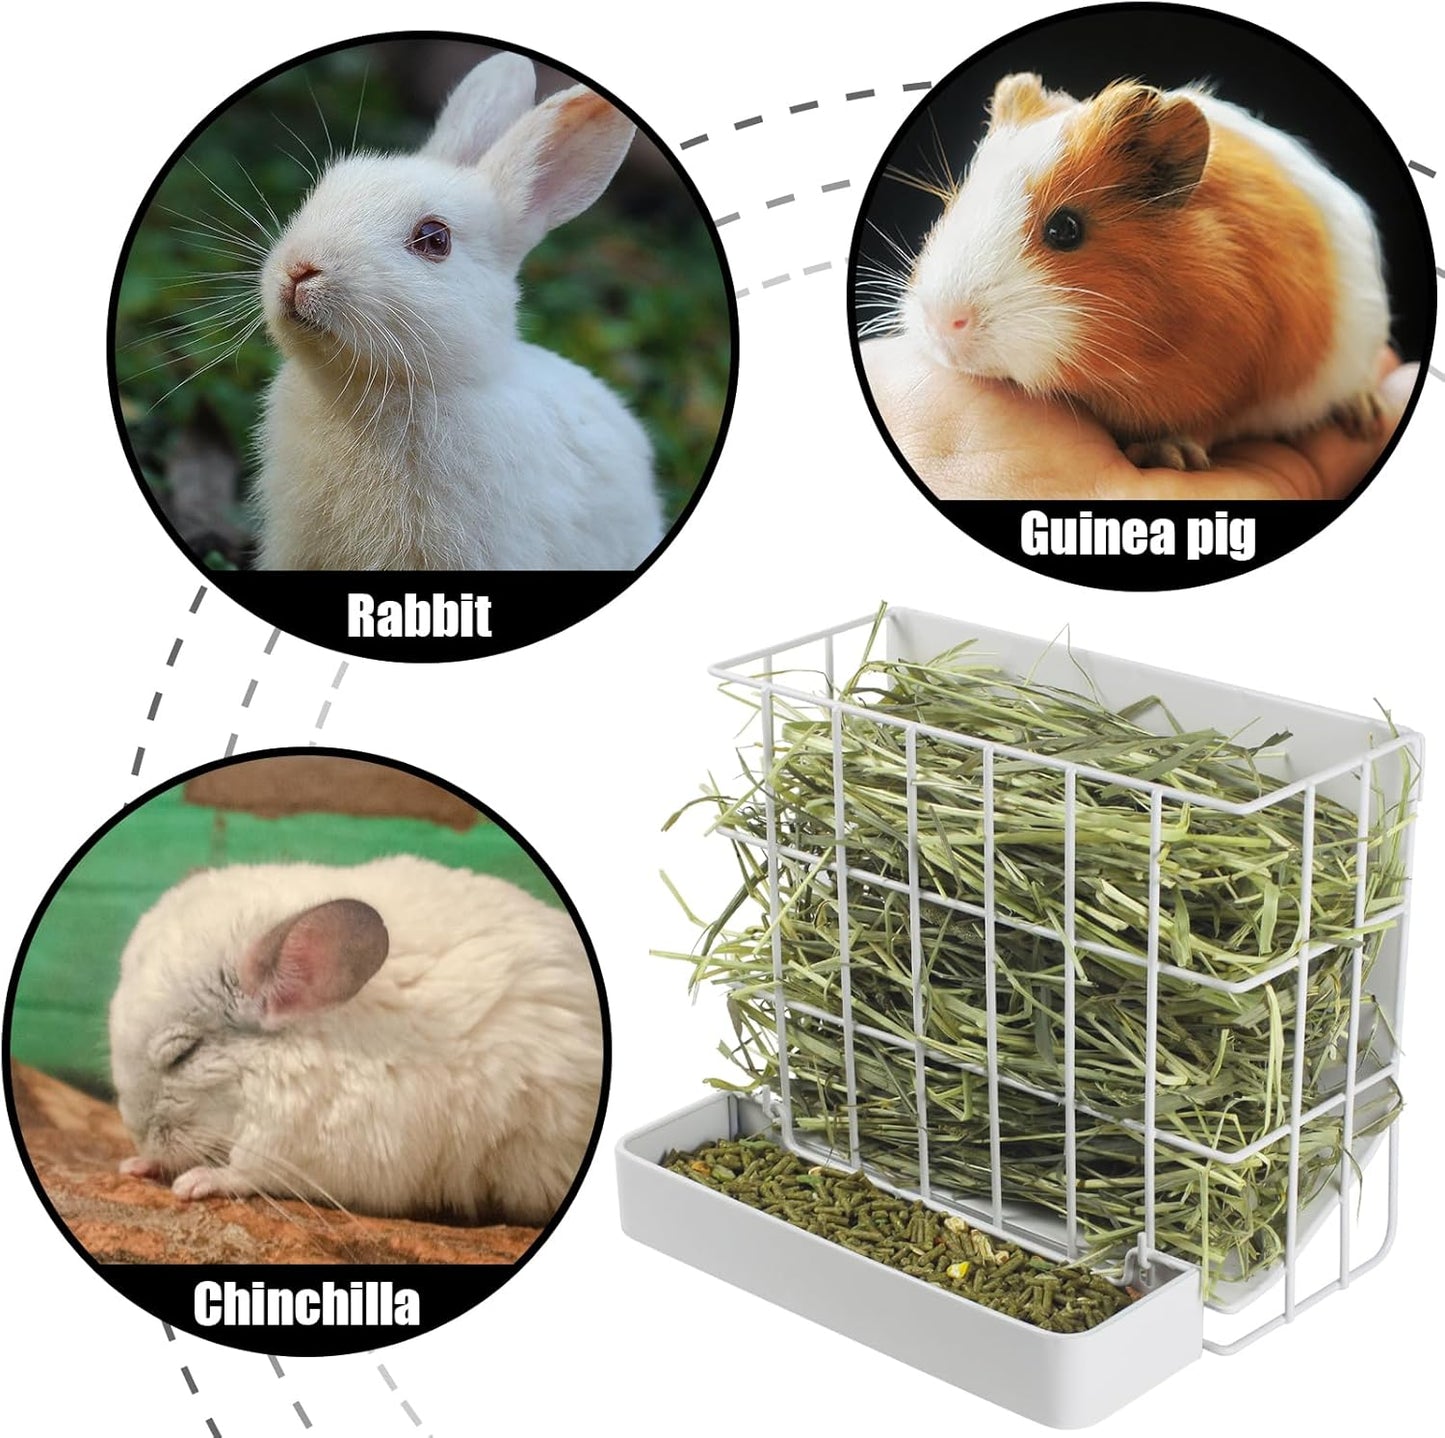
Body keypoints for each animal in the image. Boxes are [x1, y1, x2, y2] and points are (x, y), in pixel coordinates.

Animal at [107, 856, 606, 1226]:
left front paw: (195, 1182)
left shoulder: (319, 1149)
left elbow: (247, 1172)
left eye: (183, 1055)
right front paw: (136, 1166)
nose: (140, 1138)